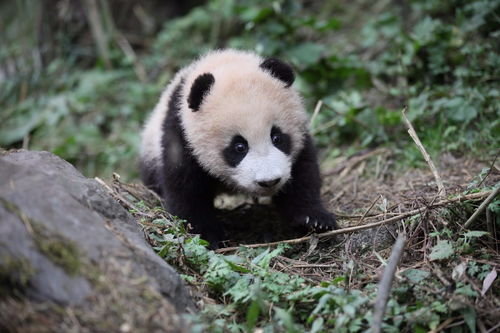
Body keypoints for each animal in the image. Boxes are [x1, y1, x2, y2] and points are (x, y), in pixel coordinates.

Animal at [140, 49, 336, 246]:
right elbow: (185, 187)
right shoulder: (180, 132)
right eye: (239, 147)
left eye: (277, 137)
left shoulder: (300, 138)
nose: (269, 181)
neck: (226, 64)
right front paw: (206, 235)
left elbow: (303, 173)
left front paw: (314, 220)